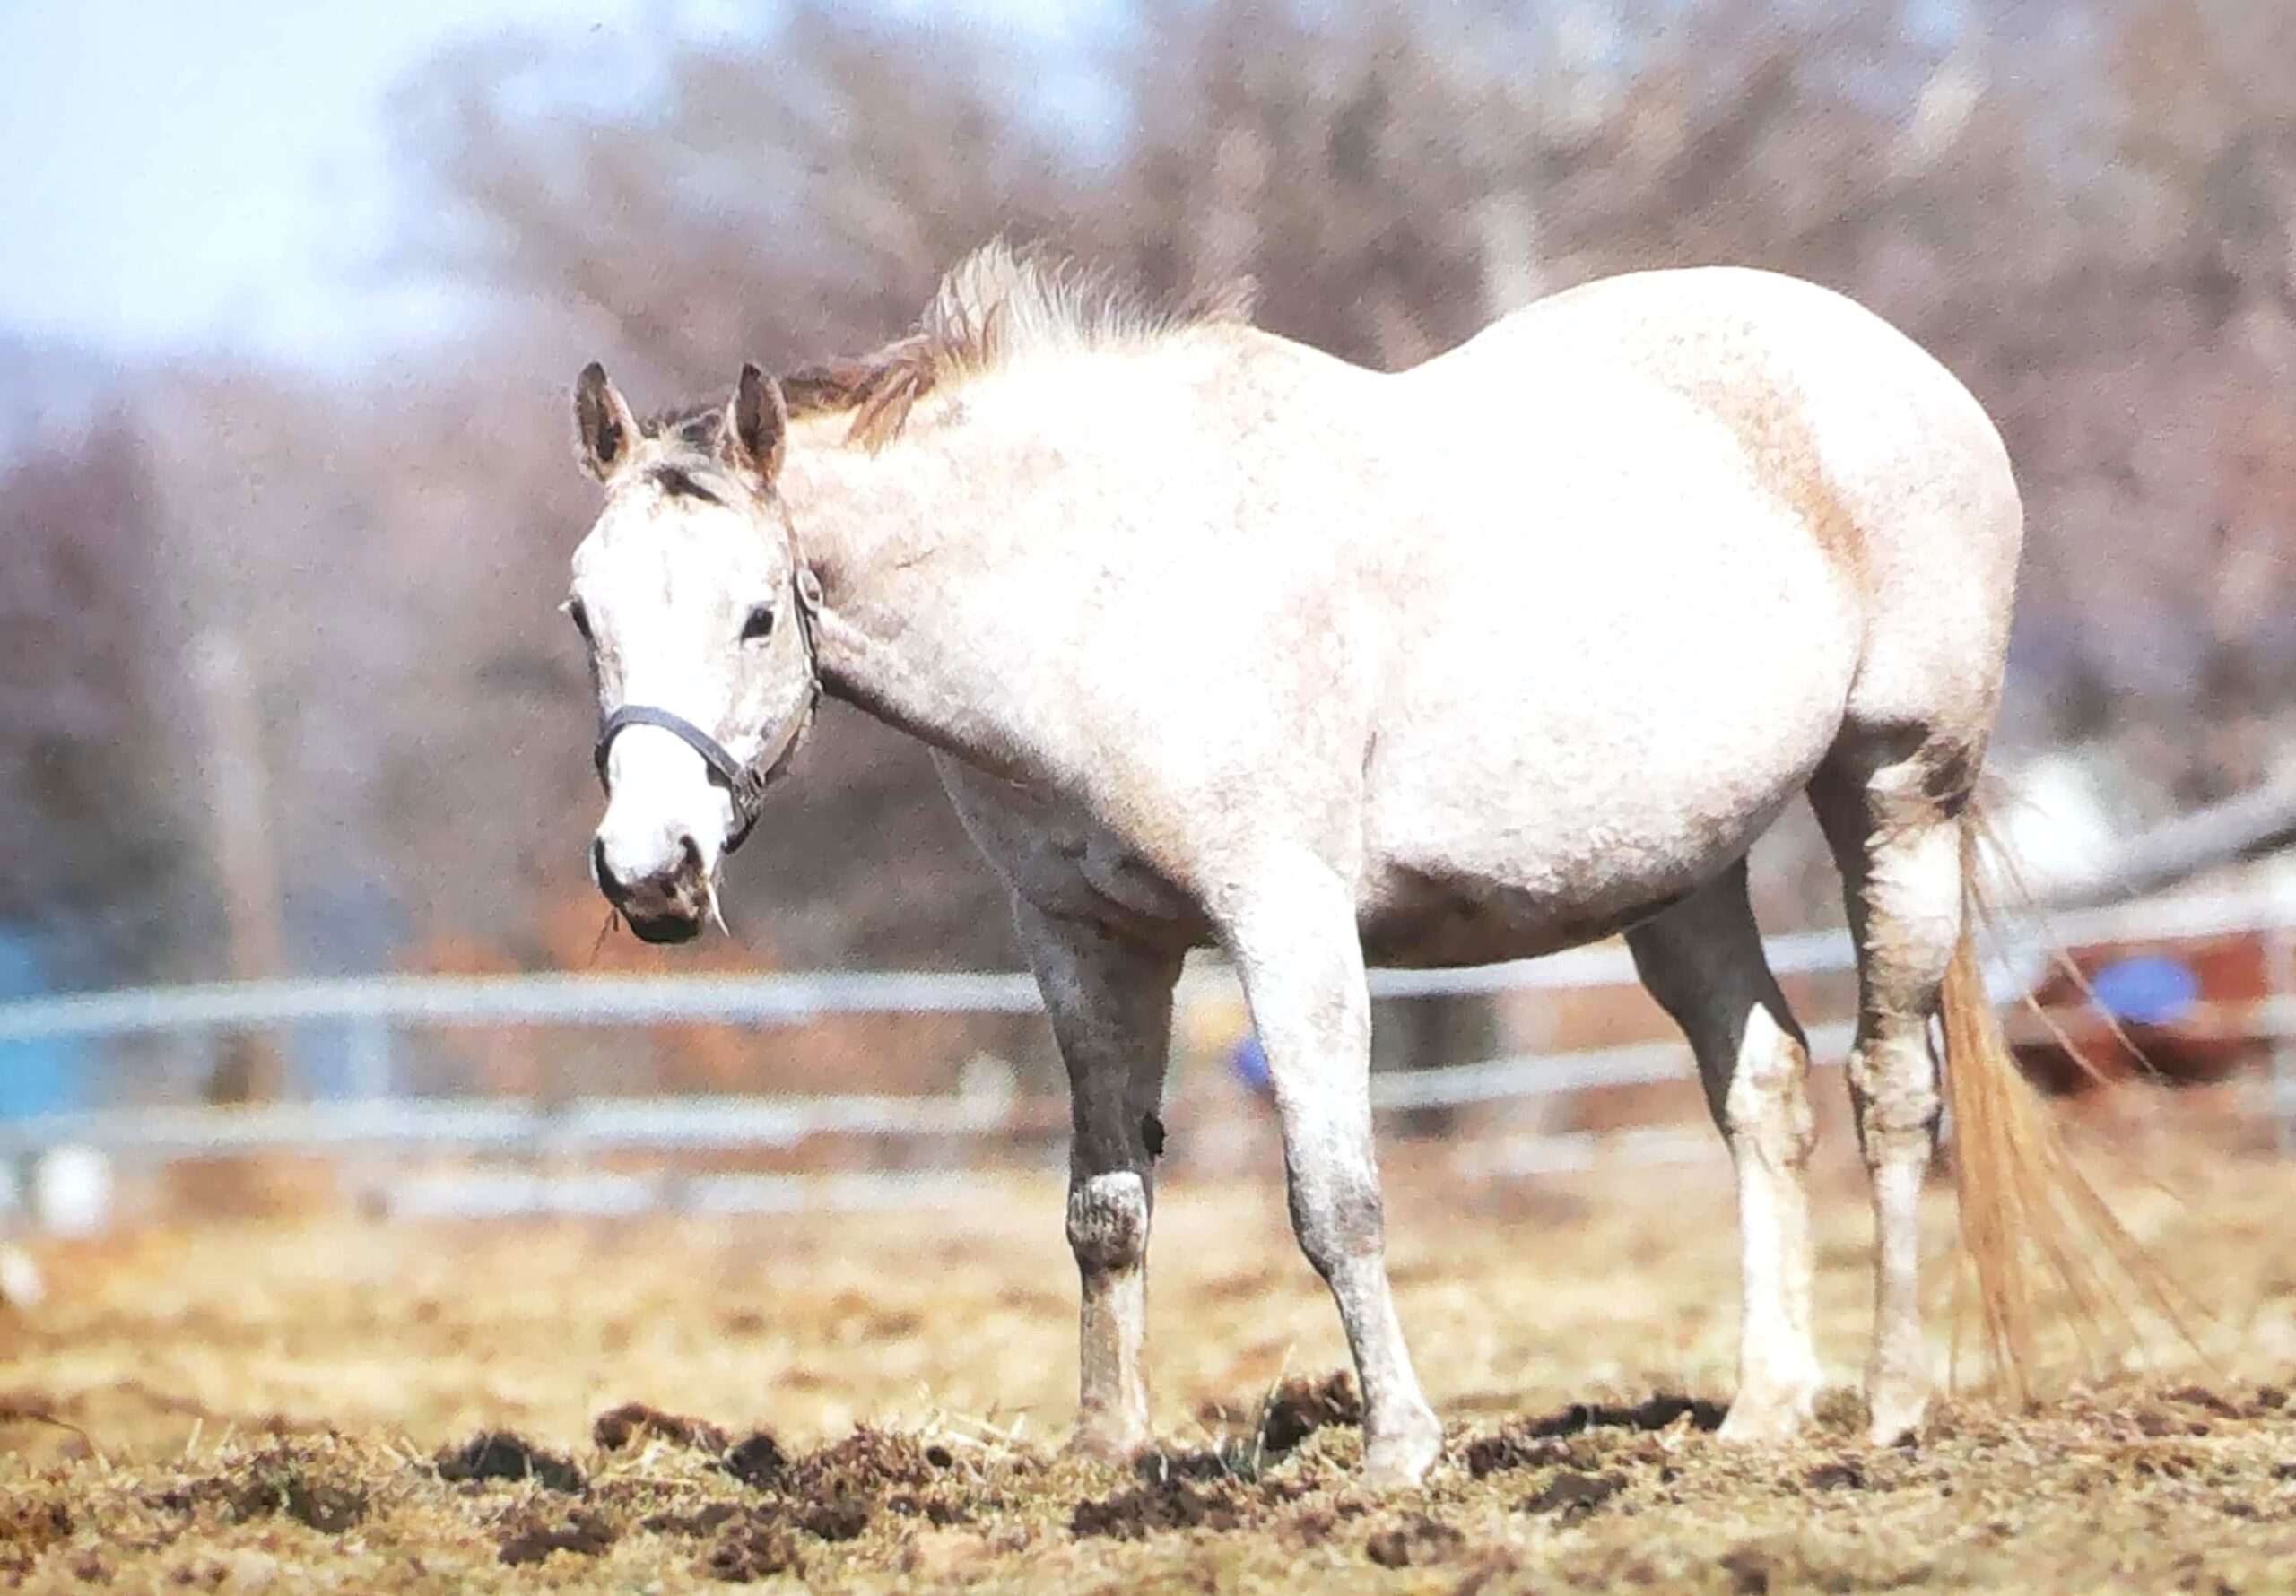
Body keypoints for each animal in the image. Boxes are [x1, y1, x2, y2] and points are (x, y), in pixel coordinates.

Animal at [569, 247, 2130, 1488]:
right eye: (584, 612)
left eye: (759, 614)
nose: (649, 870)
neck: (1102, 587)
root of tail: (1906, 370)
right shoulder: (1082, 940)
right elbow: (1103, 1209)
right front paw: (1107, 1451)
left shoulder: (1287, 921)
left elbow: (1335, 1196)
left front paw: (1399, 1449)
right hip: (1678, 875)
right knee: (1763, 1094)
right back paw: (1763, 1412)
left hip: (1898, 795)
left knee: (1892, 1090)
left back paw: (1893, 1404)